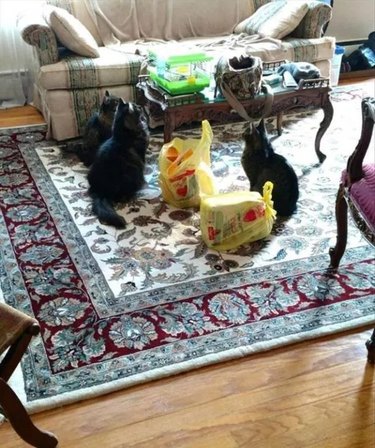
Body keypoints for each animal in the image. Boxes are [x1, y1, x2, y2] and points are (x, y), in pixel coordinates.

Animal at [88, 100, 151, 229]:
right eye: (137, 107)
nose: (141, 106)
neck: (121, 135)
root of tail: (100, 191)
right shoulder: (142, 154)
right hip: (132, 173)